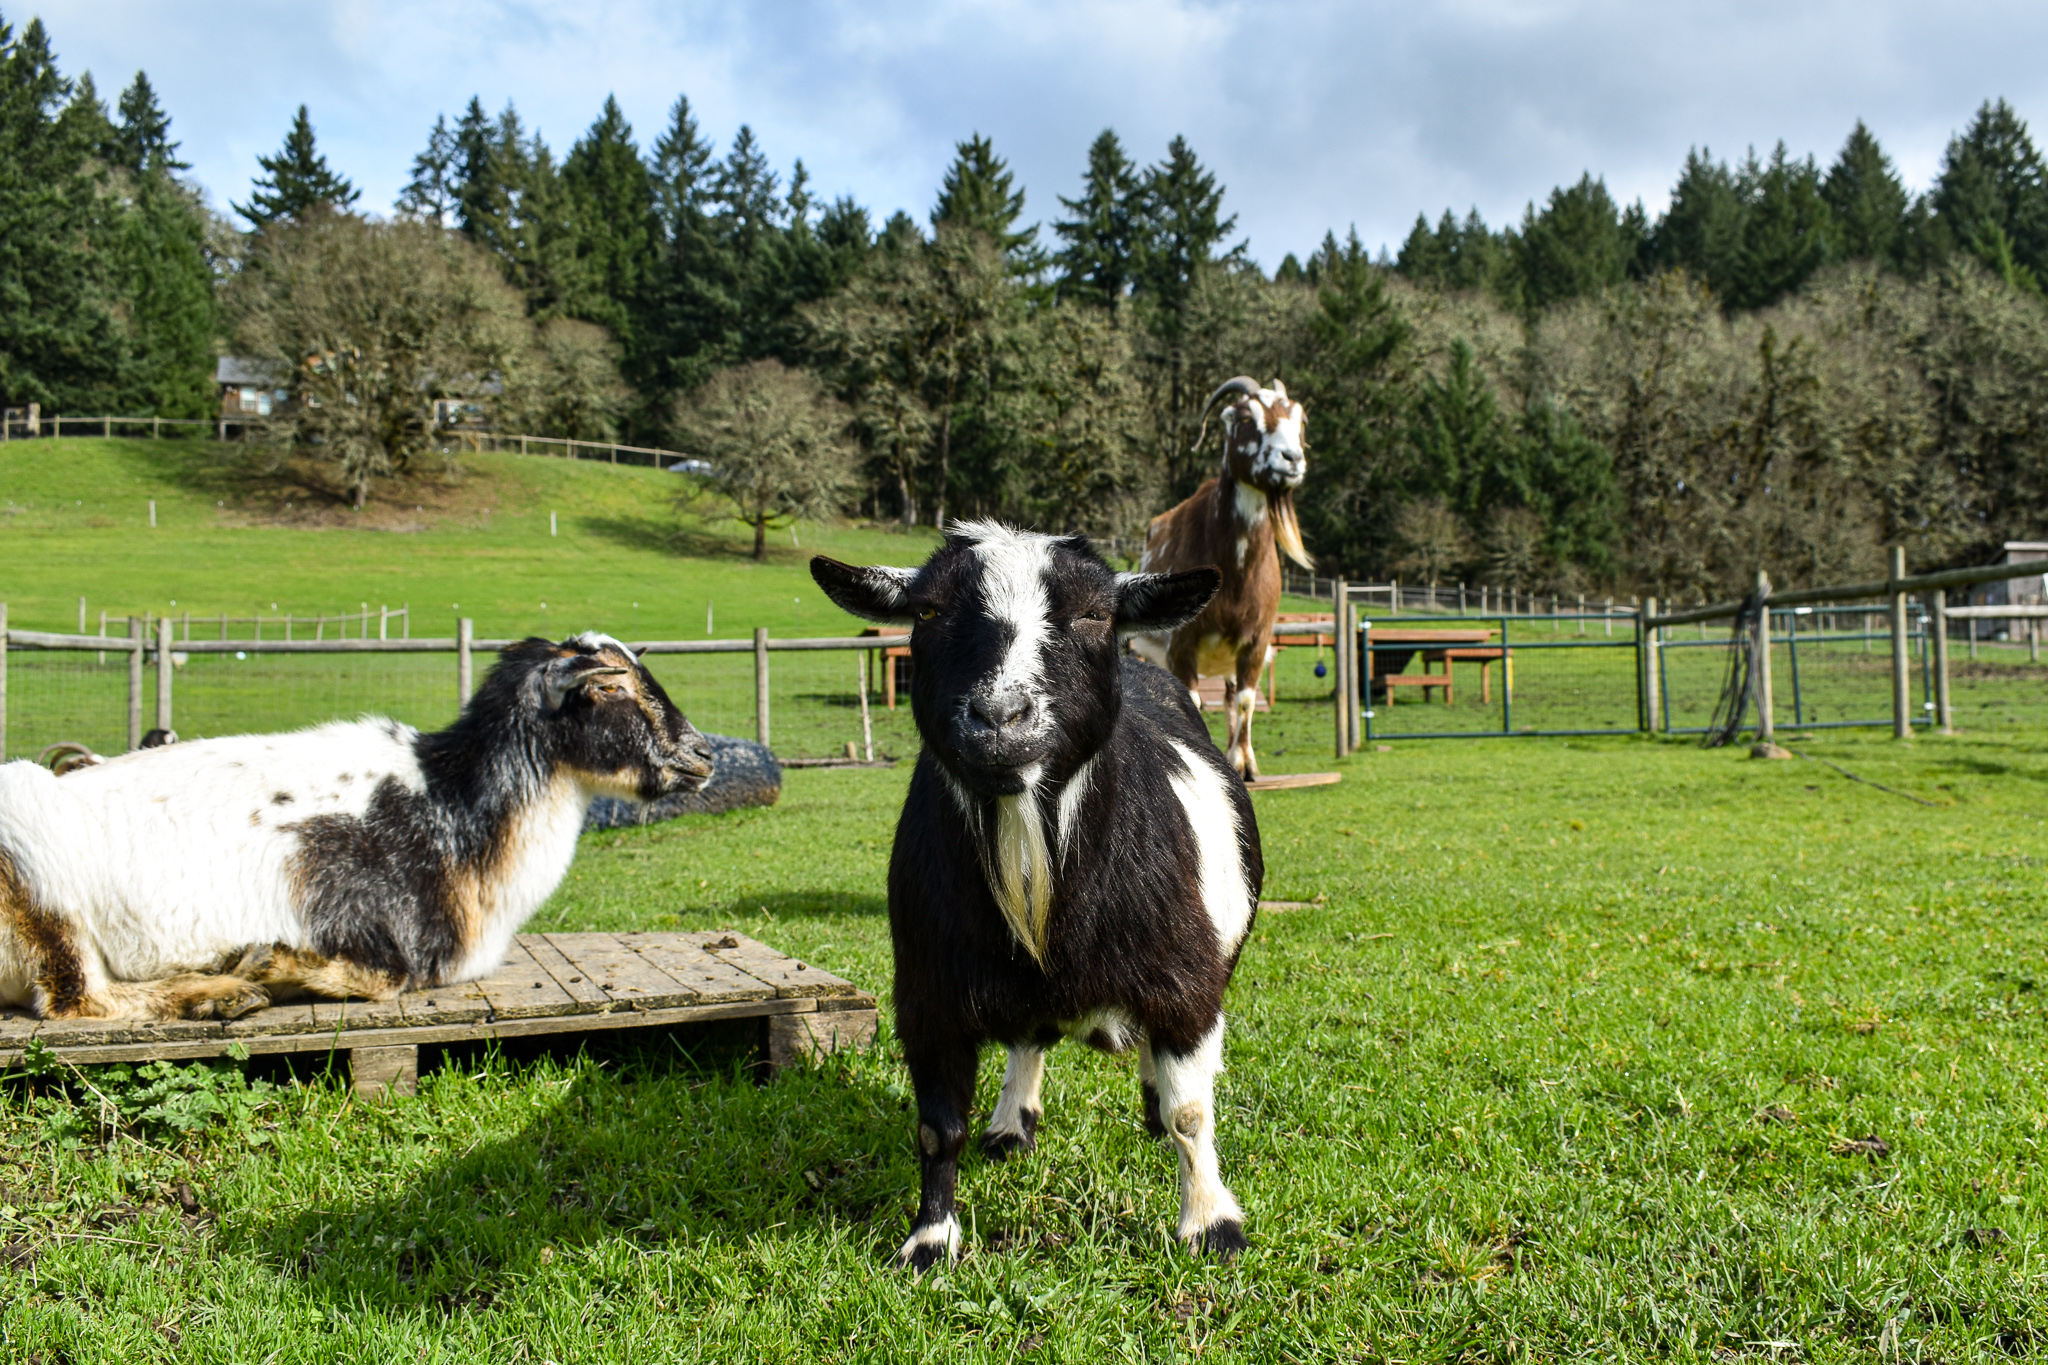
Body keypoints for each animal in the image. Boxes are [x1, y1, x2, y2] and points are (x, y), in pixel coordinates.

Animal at [0, 633, 712, 1020]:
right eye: (609, 688)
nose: (702, 753)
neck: (453, 808)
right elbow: (386, 977)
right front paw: (272, 963)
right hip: (38, 875)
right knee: (77, 999)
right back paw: (224, 990)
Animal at [811, 523, 1261, 1270]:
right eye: (926, 610)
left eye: (1096, 612)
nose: (1001, 717)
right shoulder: (927, 994)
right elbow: (938, 1128)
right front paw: (929, 1240)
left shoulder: (1187, 983)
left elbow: (1190, 1112)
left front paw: (1210, 1224)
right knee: (1030, 1037)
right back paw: (1011, 1123)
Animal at [1129, 376, 1311, 781]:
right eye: (1245, 418)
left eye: (1299, 420)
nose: (1292, 459)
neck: (1237, 574)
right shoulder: (1181, 642)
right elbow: (1191, 702)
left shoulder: (1255, 640)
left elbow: (1244, 702)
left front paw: (1243, 764)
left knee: (1230, 699)